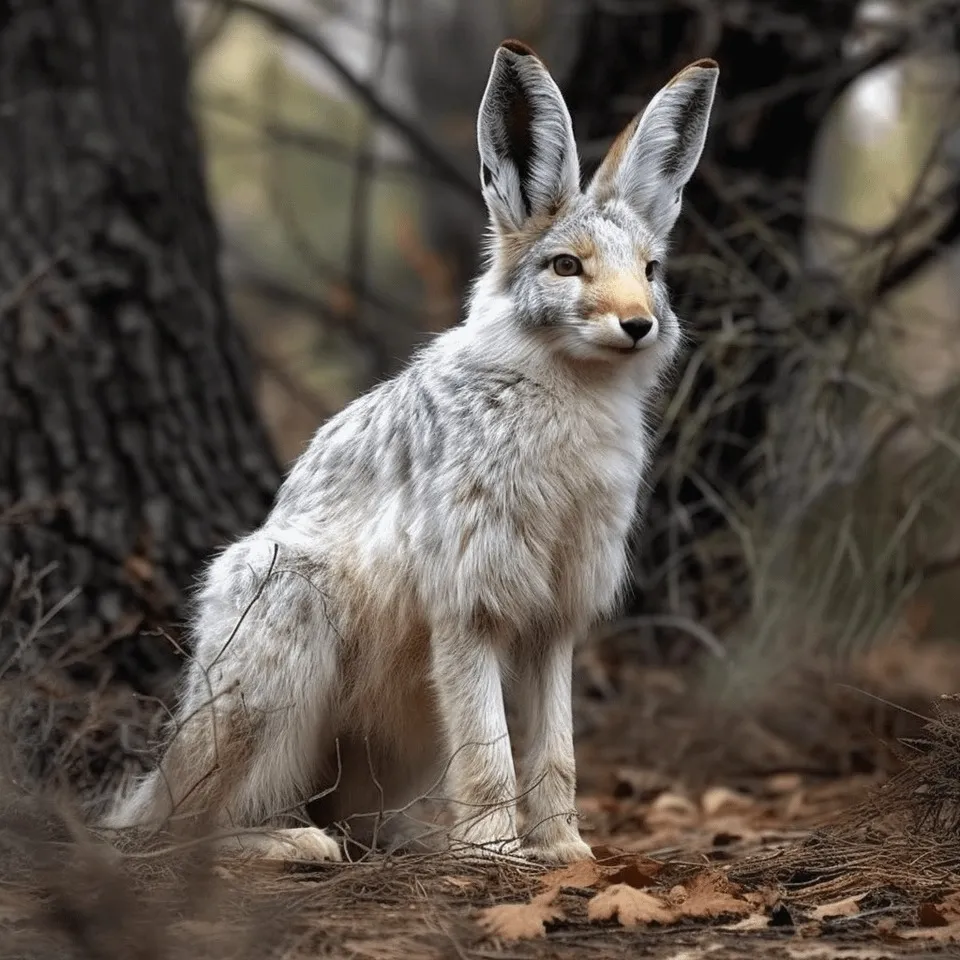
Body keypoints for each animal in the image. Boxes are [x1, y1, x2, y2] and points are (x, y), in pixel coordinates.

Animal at [103, 39, 718, 866]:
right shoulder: (467, 606)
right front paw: (496, 857)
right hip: (277, 657)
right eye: (566, 266)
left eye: (652, 271)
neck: (566, 389)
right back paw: (293, 846)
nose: (638, 324)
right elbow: (489, 753)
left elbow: (556, 751)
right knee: (183, 830)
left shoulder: (554, 624)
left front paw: (566, 855)